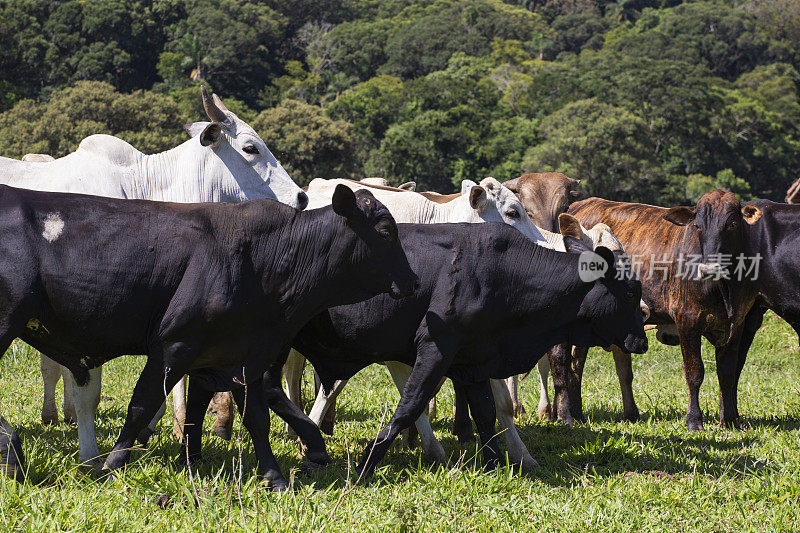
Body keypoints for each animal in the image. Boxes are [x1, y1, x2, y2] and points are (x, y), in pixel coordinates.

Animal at [0, 182, 418, 486]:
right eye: (385, 231)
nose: (414, 281)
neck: (265, 258)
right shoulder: (173, 347)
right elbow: (141, 406)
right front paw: (112, 464)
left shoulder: (243, 358)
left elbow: (256, 418)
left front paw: (274, 476)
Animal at [564, 189, 760, 430]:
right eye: (698, 226)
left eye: (732, 224)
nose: (709, 268)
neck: (723, 290)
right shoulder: (687, 320)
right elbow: (695, 372)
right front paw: (694, 420)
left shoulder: (737, 323)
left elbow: (727, 373)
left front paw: (730, 419)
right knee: (576, 363)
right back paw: (575, 413)